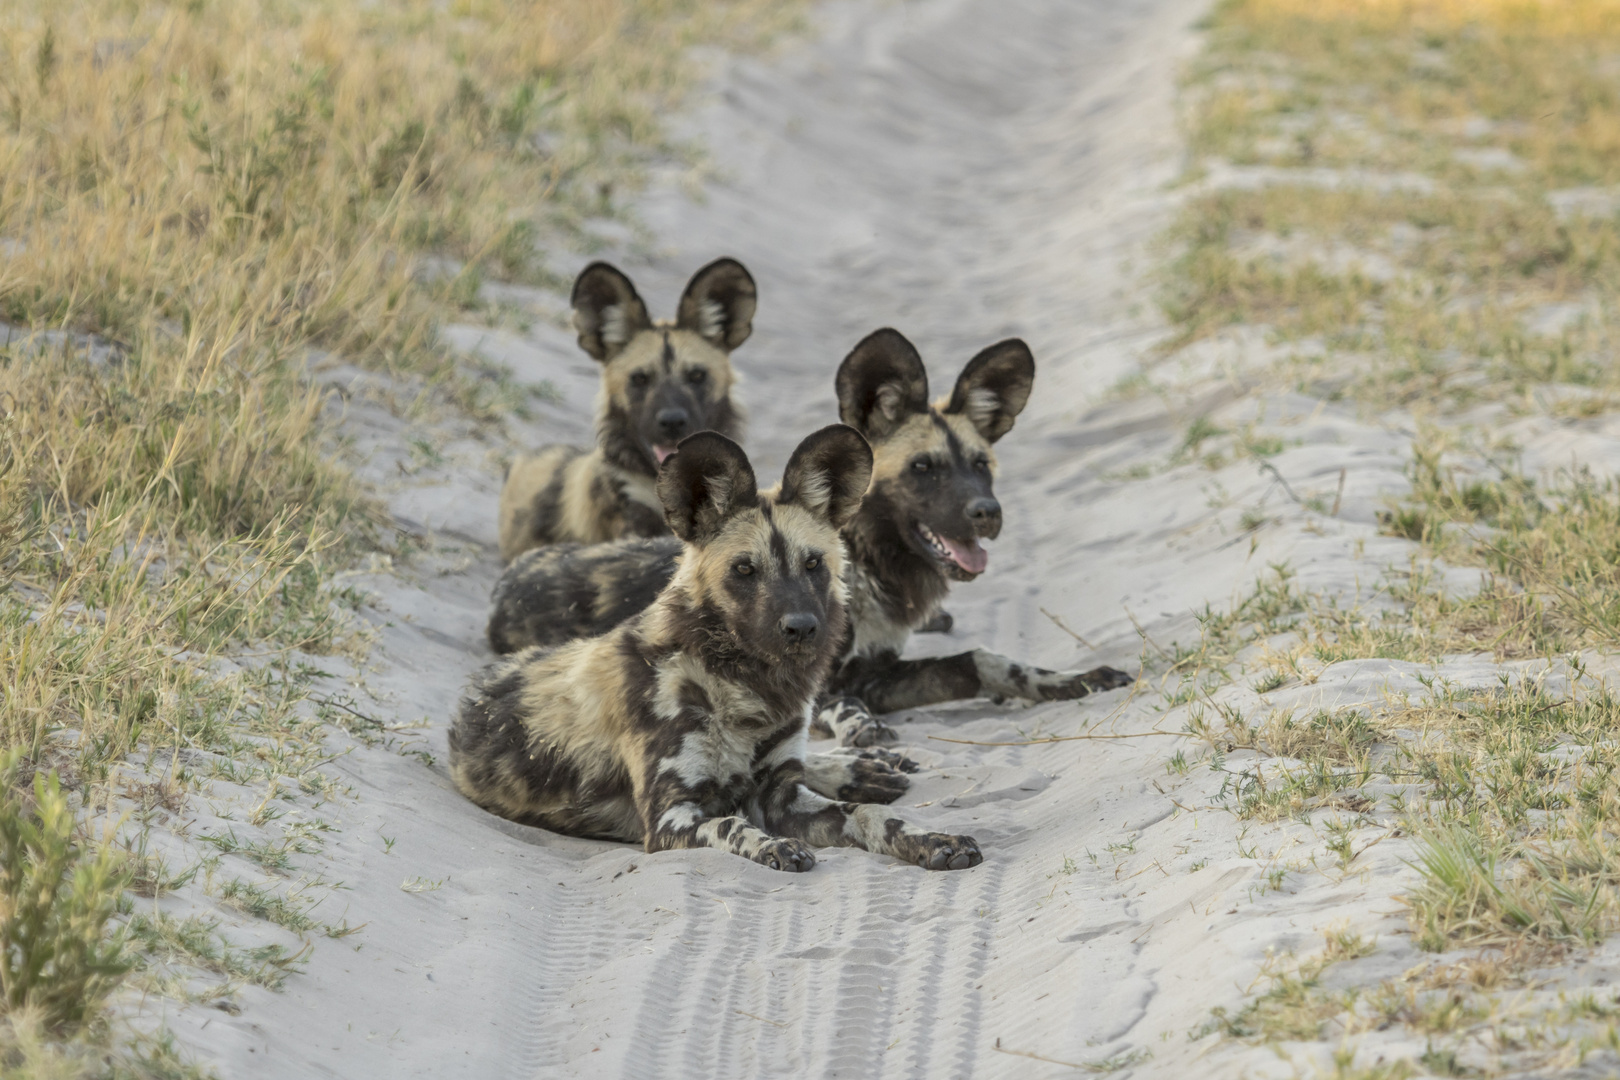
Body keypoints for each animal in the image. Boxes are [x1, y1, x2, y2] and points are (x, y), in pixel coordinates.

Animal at [450, 427, 978, 874]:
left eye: (813, 564)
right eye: (744, 569)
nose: (801, 627)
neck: (750, 690)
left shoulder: (782, 797)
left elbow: (870, 815)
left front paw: (931, 839)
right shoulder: (670, 818)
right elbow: (732, 824)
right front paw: (774, 846)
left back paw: (863, 767)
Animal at [486, 330, 1134, 748]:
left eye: (981, 465)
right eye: (924, 468)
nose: (987, 512)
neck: (869, 573)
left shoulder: (879, 672)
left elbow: (986, 659)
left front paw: (1068, 681)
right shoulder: (823, 680)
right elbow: (840, 701)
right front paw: (862, 728)